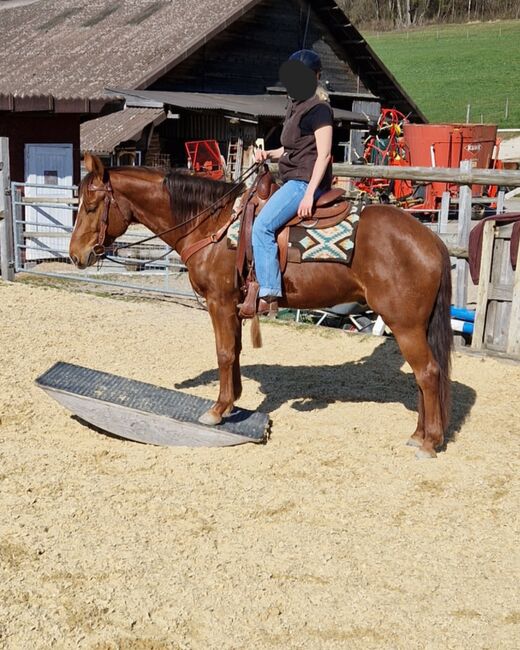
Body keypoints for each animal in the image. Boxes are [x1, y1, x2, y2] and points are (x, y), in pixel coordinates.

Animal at [69, 152, 450, 456]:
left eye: (91, 206)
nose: (75, 255)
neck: (211, 224)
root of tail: (430, 239)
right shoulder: (235, 307)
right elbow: (235, 351)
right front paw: (233, 402)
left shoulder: (219, 302)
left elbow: (224, 352)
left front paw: (217, 409)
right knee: (423, 378)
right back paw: (419, 434)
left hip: (405, 325)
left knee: (428, 374)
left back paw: (429, 441)